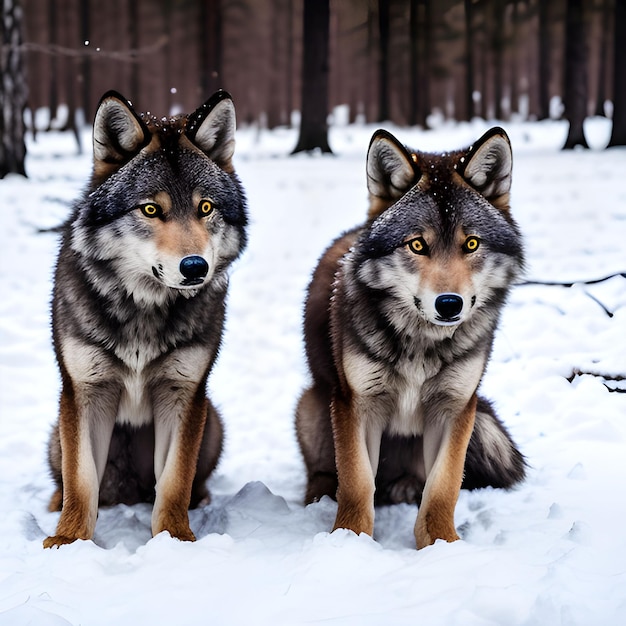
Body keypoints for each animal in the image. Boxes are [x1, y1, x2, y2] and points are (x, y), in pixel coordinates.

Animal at [44, 89, 246, 544]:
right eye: (151, 210)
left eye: (205, 207)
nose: (195, 267)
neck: (144, 309)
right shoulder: (85, 392)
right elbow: (81, 480)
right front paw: (68, 541)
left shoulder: (183, 394)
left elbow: (173, 480)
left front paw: (175, 539)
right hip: (55, 433)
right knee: (66, 479)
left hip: (213, 424)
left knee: (185, 482)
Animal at [294, 125, 524, 544]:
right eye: (417, 244)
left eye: (471, 243)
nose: (449, 304)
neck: (422, 343)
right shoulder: (358, 405)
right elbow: (357, 483)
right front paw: (349, 541)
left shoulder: (456, 408)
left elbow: (443, 487)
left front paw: (442, 544)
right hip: (312, 405)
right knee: (331, 475)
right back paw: (320, 496)